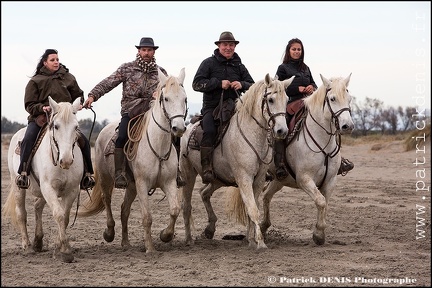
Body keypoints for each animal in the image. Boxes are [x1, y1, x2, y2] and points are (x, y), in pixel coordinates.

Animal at [2, 97, 82, 264]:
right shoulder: (48, 188)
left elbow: (65, 217)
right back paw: (27, 246)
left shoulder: (72, 190)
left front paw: (58, 248)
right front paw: (65, 251)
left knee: (38, 206)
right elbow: (58, 214)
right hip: (18, 185)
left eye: (76, 126)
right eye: (56, 126)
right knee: (21, 213)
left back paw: (38, 241)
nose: (66, 160)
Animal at [79, 67, 187, 252]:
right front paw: (150, 248)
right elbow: (147, 217)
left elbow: (174, 209)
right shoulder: (142, 184)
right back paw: (109, 233)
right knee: (107, 201)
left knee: (124, 210)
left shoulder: (169, 182)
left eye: (185, 98)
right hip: (107, 180)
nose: (178, 128)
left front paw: (165, 235)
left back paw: (126, 243)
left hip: (131, 185)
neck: (157, 145)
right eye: (166, 98)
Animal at [179, 73, 294, 249]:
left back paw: (209, 229)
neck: (253, 136)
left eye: (287, 99)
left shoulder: (259, 179)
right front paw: (260, 242)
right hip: (188, 174)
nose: (282, 131)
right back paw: (188, 239)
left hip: (218, 179)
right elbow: (253, 209)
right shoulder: (244, 177)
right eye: (271, 100)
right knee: (187, 205)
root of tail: (188, 130)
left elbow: (252, 208)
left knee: (204, 193)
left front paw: (251, 239)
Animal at [260, 73, 354, 245]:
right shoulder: (304, 179)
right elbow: (320, 201)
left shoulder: (330, 181)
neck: (323, 143)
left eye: (349, 98)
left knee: (266, 197)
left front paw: (320, 233)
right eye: (332, 98)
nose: (347, 126)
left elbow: (324, 203)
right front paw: (318, 235)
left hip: (278, 180)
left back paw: (264, 226)